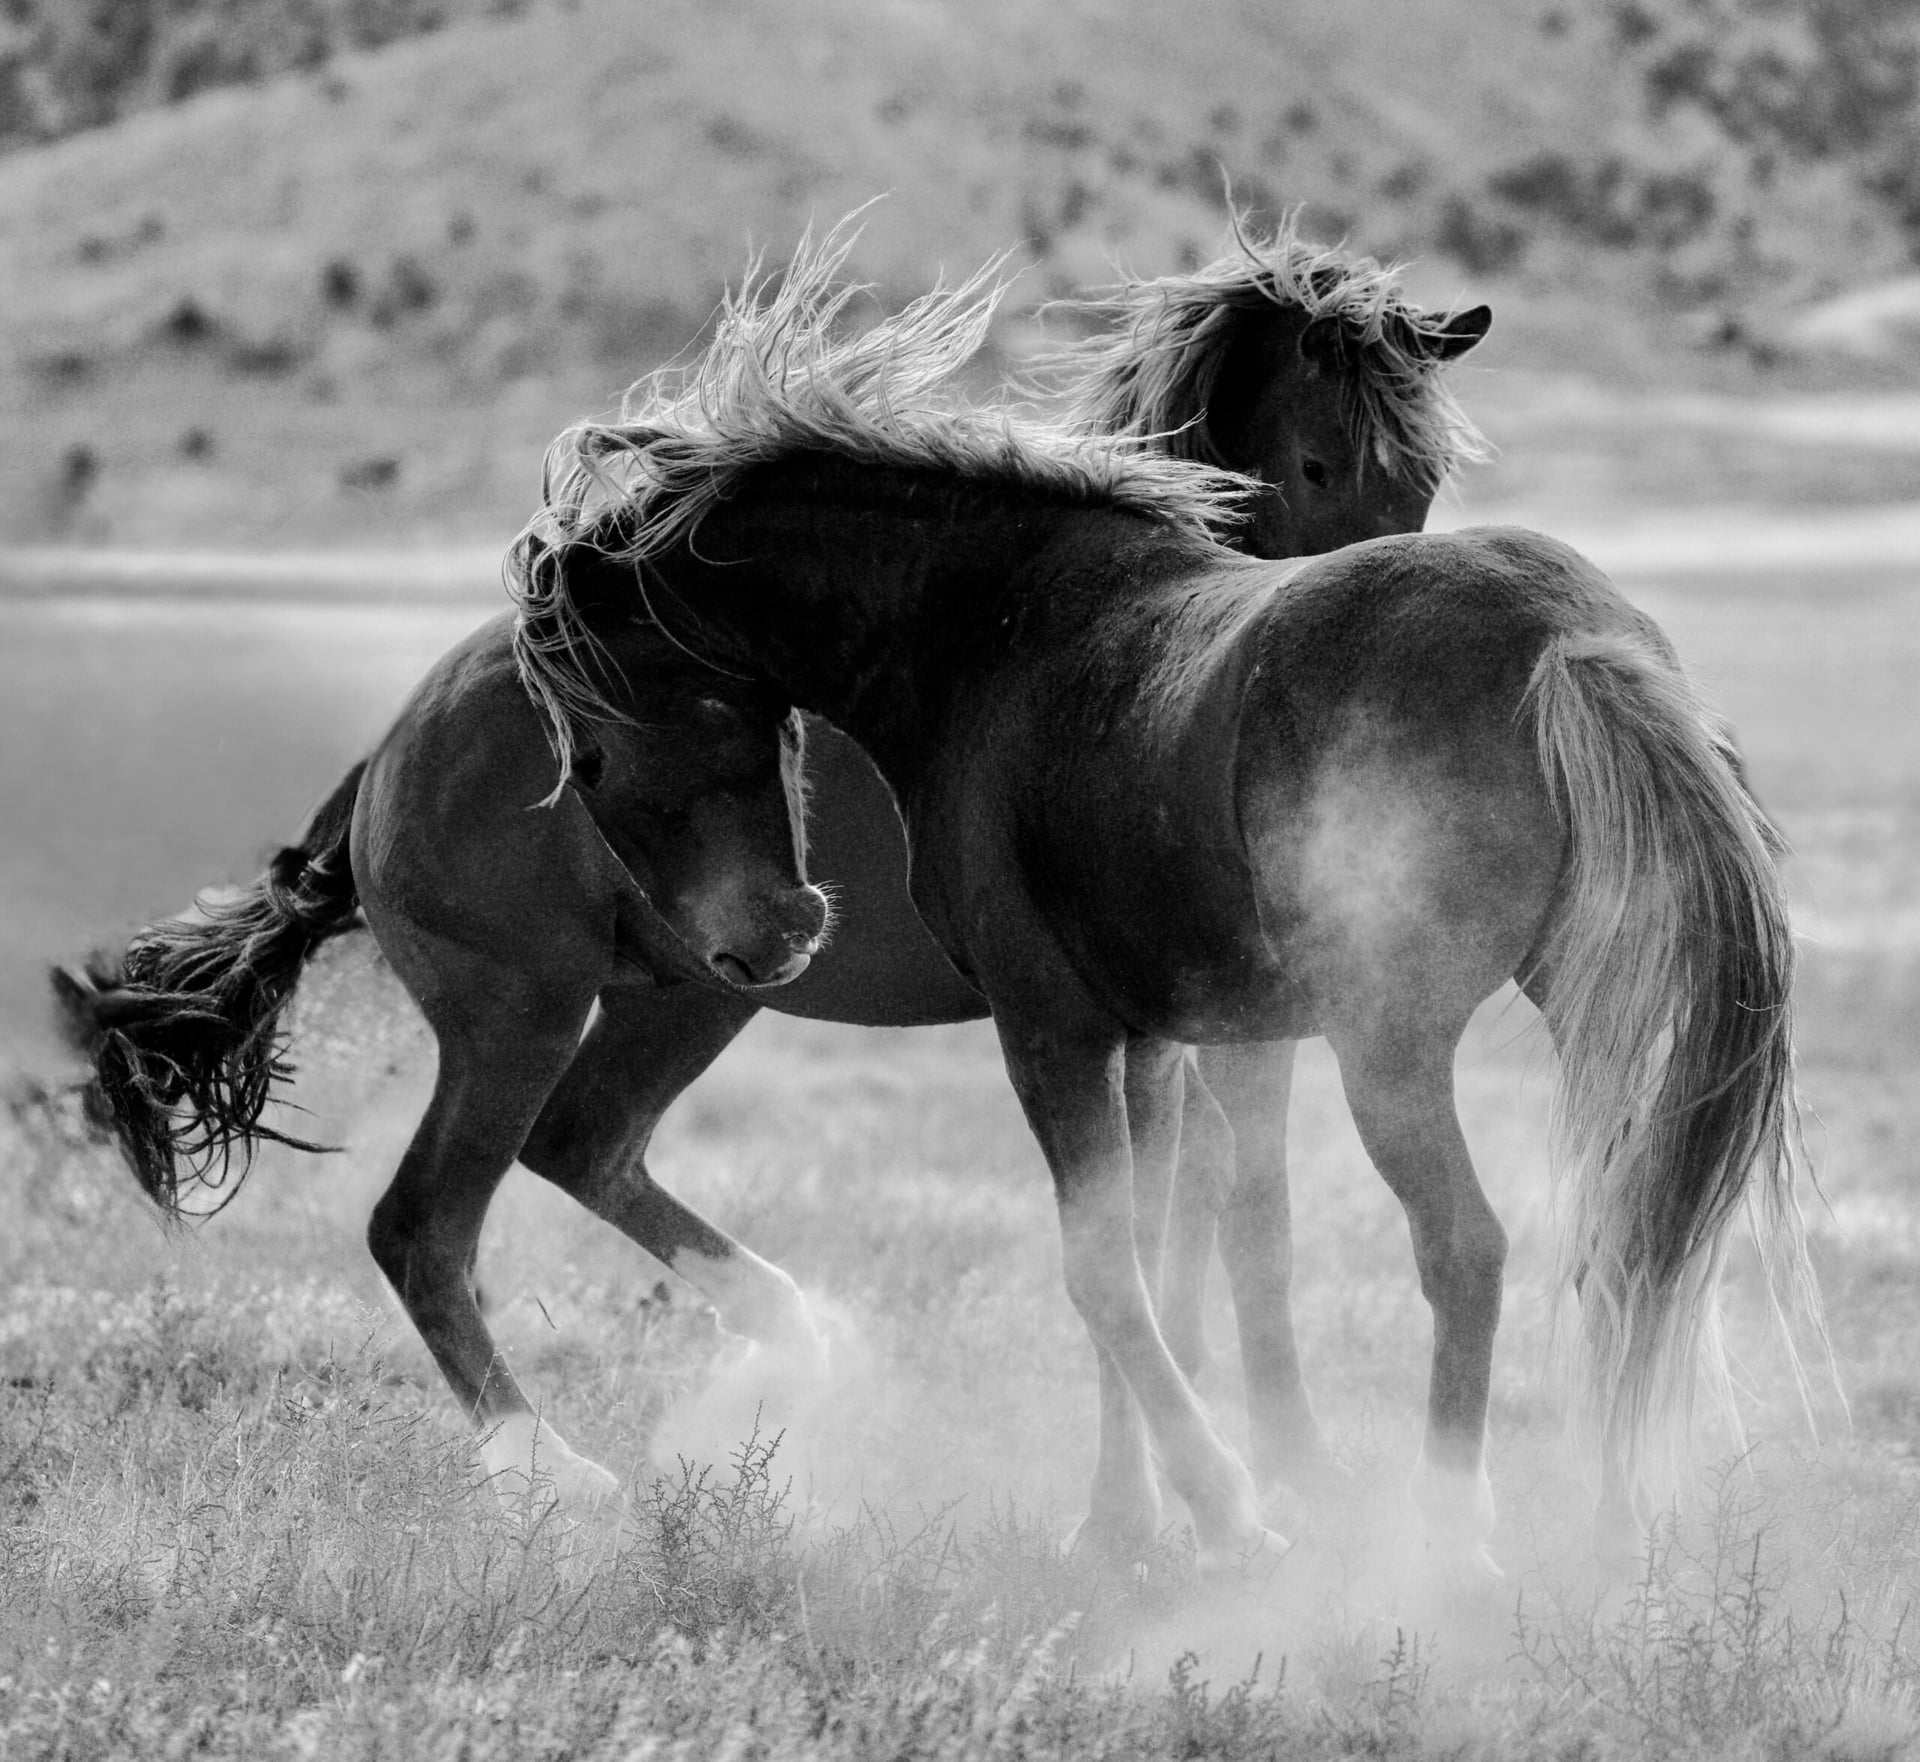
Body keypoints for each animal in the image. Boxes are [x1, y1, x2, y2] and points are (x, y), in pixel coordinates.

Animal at [55, 220, 1493, 1520]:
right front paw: (1254, 1478)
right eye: (1318, 458)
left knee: (583, 1148)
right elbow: (1226, 1224)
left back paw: (798, 1347)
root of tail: (391, 755)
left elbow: (1191, 1225)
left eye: (1422, 481)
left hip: (688, 992)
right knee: (423, 1224)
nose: (1364, 615)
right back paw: (553, 1470)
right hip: (516, 1019)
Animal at [508, 226, 1819, 1576]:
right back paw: (1623, 1535)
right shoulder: (1150, 1040)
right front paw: (1126, 1515)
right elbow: (1145, 1257)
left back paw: (1450, 1538)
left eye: (588, 758)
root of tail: (1567, 640)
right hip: (1596, 1015)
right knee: (1638, 1240)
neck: (989, 628)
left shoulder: (1052, 1027)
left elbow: (1103, 1274)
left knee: (1468, 1246)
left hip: (1388, 1049)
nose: (767, 942)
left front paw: (1224, 1507)